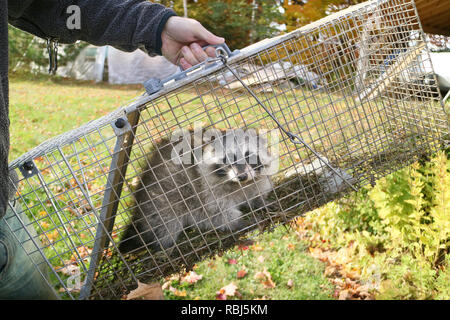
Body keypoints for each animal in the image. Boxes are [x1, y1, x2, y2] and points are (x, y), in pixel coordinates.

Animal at [118, 128, 276, 255]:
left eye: (249, 155)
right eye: (228, 159)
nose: (242, 176)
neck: (238, 184)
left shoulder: (255, 182)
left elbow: (256, 192)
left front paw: (261, 201)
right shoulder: (207, 191)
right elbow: (219, 213)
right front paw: (240, 221)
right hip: (160, 200)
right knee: (167, 224)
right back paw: (166, 247)